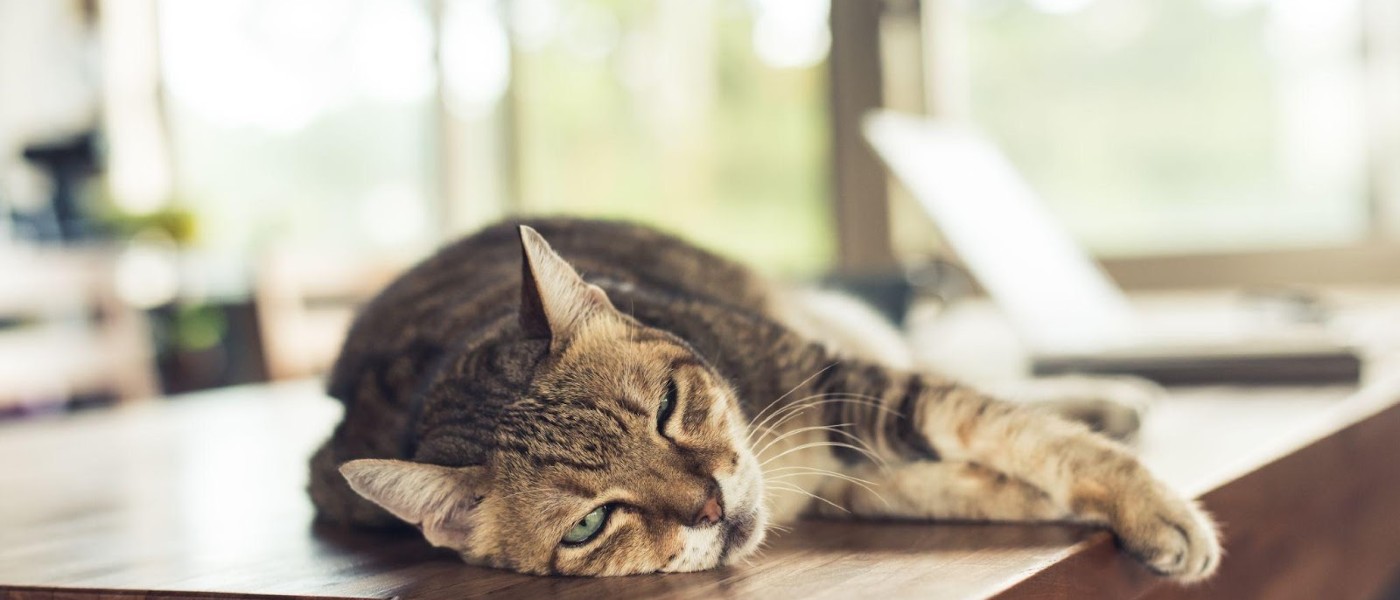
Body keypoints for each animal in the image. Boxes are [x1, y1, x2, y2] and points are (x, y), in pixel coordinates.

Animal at [312, 218, 1220, 579]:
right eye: (587, 524)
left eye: (669, 407)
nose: (712, 506)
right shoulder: (861, 470)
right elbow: (980, 472)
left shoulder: (846, 382)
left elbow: (1019, 433)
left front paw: (1156, 508)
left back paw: (1112, 392)